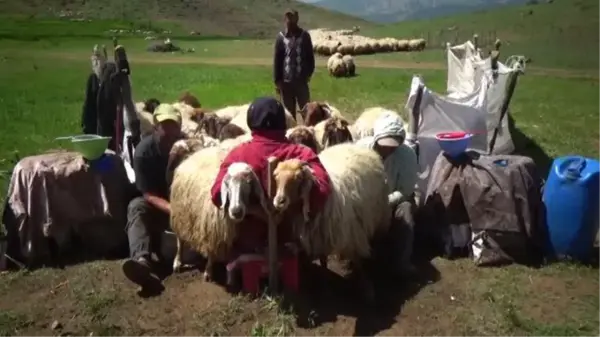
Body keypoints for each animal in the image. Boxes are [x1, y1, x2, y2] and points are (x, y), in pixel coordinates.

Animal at [270, 143, 390, 300]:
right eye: (276, 177)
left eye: (298, 178)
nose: (279, 201)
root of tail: (354, 145)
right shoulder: (320, 236)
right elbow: (323, 260)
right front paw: (325, 287)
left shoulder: (353, 234)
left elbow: (358, 260)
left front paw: (366, 287)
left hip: (379, 213)